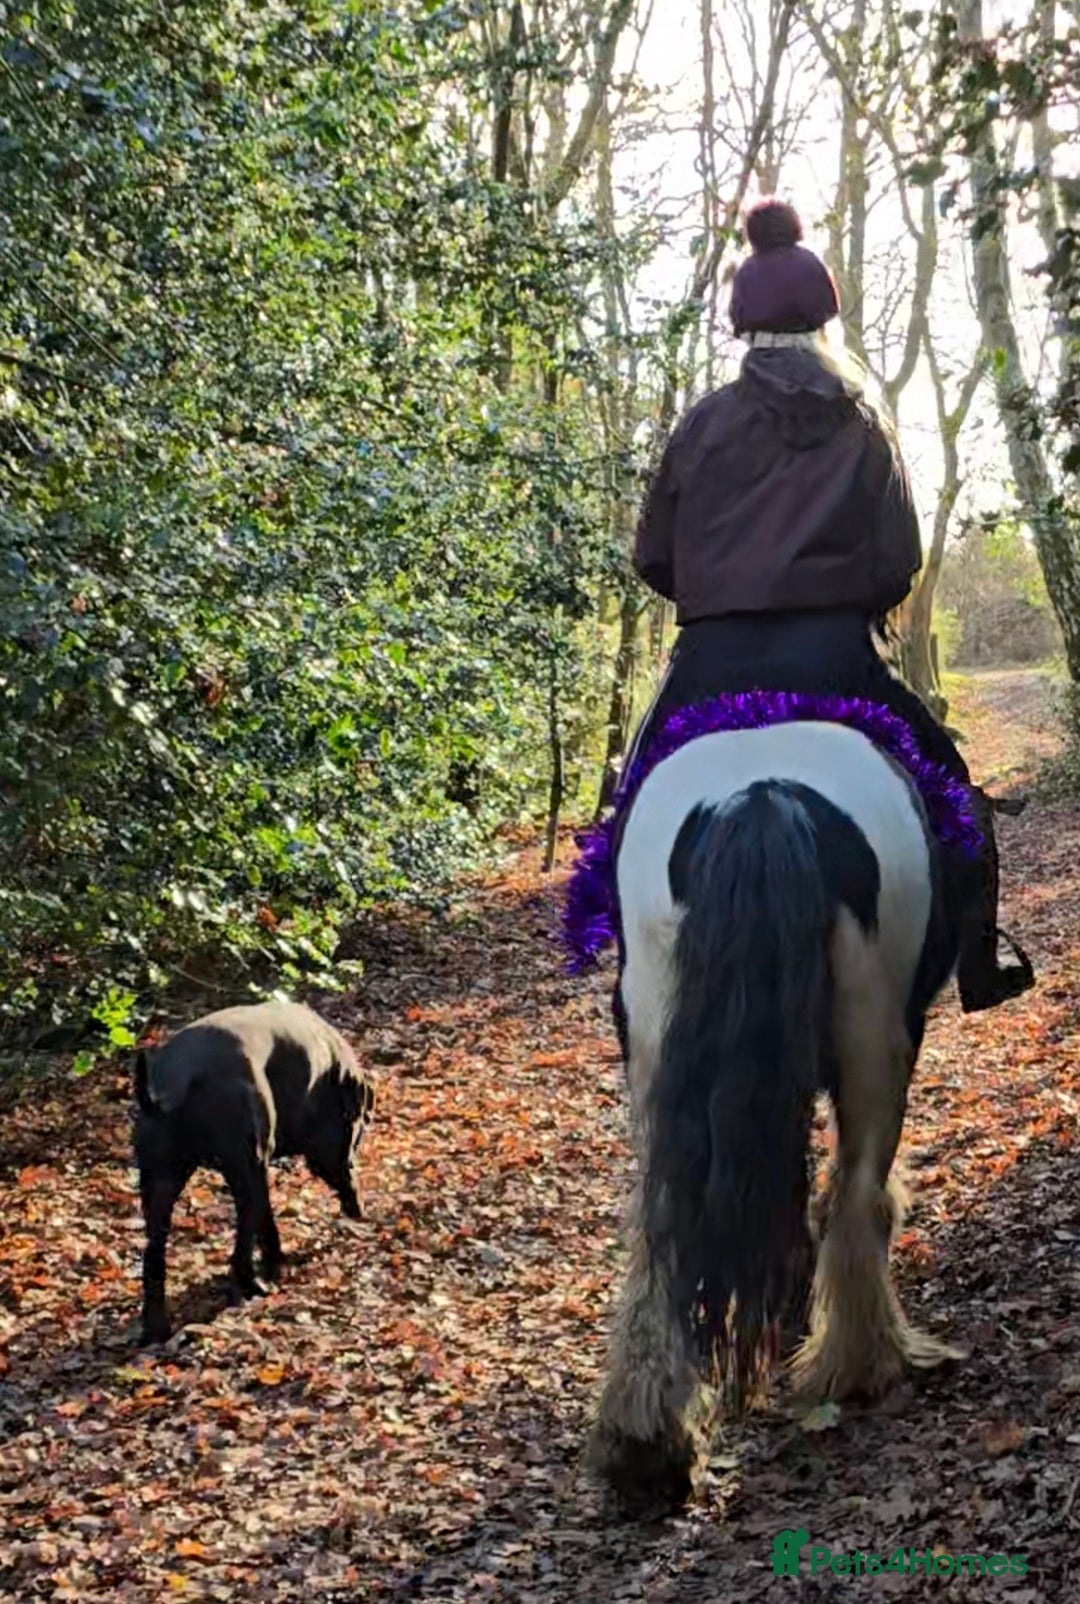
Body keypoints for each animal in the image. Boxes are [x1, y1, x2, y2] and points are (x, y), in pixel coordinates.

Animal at [582, 715, 967, 1510]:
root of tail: (761, 796)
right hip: (880, 1041)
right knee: (856, 1196)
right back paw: (861, 1363)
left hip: (660, 1043)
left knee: (665, 1225)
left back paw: (646, 1440)